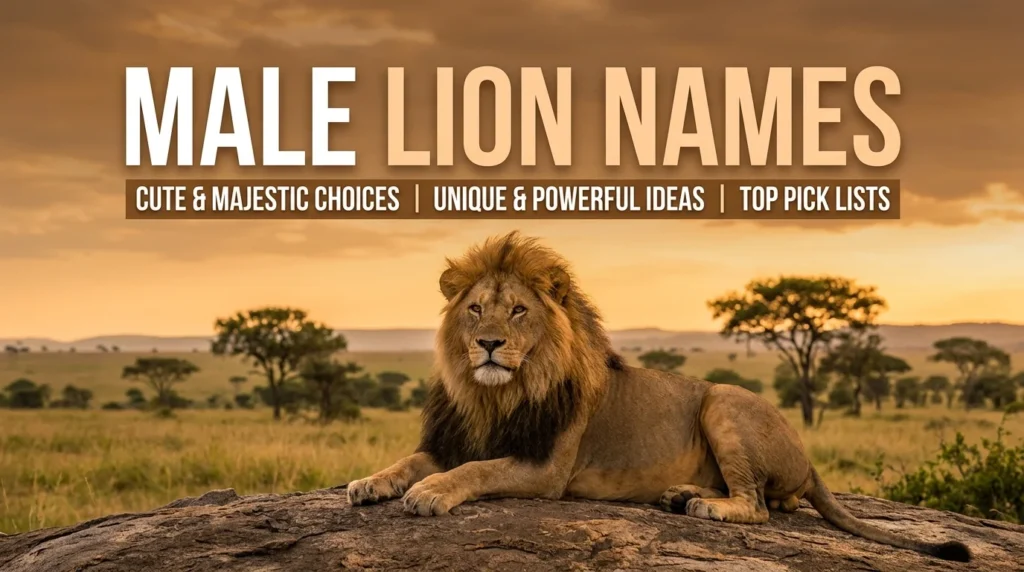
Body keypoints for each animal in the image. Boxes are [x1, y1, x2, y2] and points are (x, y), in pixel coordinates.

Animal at [347, 231, 971, 563]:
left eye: (519, 310)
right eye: (476, 308)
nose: (489, 344)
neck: (495, 395)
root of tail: (809, 458)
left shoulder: (546, 469)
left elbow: (475, 470)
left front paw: (431, 493)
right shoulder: (454, 436)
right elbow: (410, 460)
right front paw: (370, 482)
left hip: (723, 402)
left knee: (760, 505)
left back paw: (704, 505)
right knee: (773, 500)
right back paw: (681, 494)